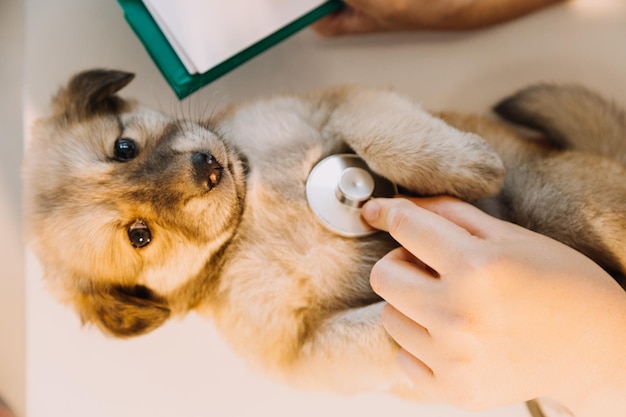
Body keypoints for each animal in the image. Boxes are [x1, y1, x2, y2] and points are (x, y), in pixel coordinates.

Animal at [22, 70, 620, 396]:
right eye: (138, 235)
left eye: (123, 148)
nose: (207, 168)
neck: (252, 208)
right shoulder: (299, 351)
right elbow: (388, 324)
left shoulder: (334, 102)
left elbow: (383, 133)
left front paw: (464, 163)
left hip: (565, 199)